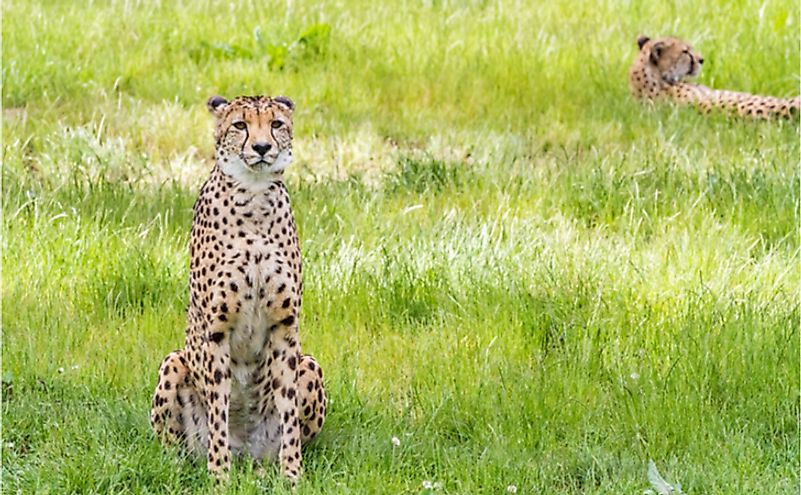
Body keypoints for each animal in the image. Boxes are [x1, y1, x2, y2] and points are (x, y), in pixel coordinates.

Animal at [150, 94, 324, 484]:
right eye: (240, 125)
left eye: (276, 124)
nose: (261, 148)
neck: (255, 197)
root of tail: (247, 452)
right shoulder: (216, 331)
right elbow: (219, 410)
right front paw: (219, 478)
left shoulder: (285, 327)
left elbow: (288, 414)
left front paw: (292, 476)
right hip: (173, 362)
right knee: (173, 448)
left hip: (310, 363)